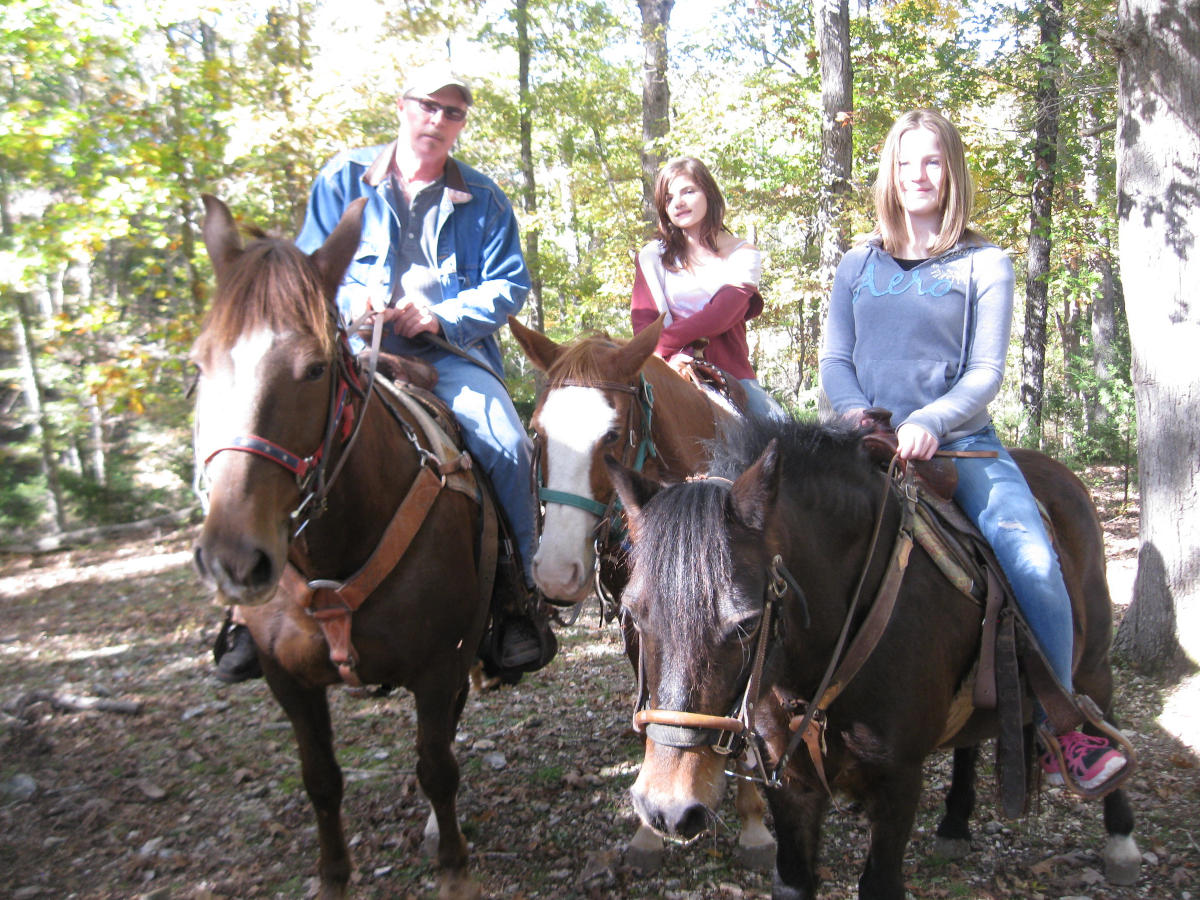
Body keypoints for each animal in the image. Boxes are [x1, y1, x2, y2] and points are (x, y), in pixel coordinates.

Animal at [192, 196, 487, 900]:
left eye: (316, 368)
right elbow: (321, 780)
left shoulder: (441, 663)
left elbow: (437, 766)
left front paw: (454, 869)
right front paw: (332, 877)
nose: (234, 560)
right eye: (199, 365)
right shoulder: (288, 683)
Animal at [604, 422, 1137, 900]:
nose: (667, 807)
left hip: (1093, 662)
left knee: (1102, 711)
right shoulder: (790, 783)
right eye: (633, 614)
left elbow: (880, 884)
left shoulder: (897, 781)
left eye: (747, 623)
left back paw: (1119, 831)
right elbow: (793, 881)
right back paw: (955, 823)